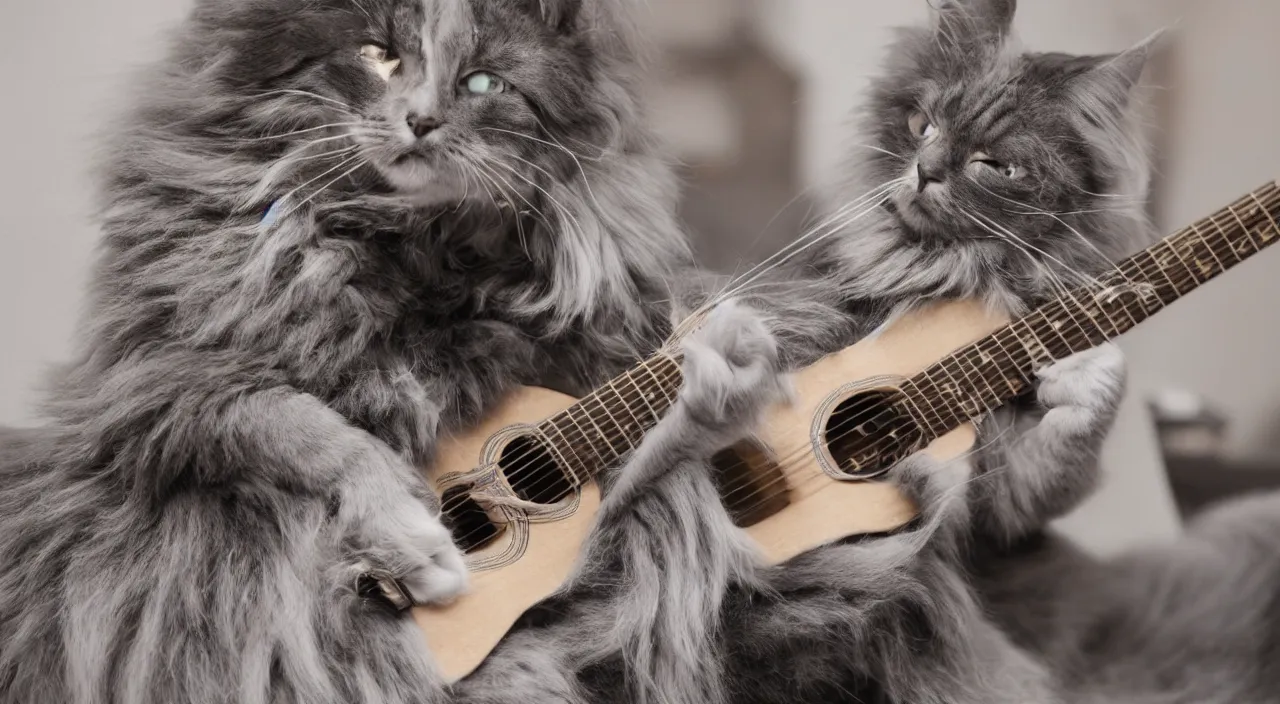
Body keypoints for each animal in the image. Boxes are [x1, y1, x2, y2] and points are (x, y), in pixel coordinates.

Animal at [0, 1, 778, 704]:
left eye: (483, 82)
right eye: (379, 54)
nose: (421, 120)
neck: (404, 240)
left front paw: (723, 376)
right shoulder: (156, 390)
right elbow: (310, 426)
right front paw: (411, 538)